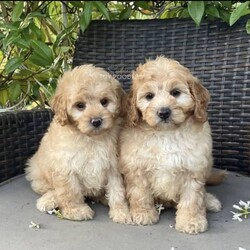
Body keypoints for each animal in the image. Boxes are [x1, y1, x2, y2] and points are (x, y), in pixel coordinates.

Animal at [120, 55, 222, 233]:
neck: (166, 134)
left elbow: (193, 199)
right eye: (149, 96)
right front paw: (143, 214)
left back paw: (210, 201)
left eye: (175, 93)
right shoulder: (137, 167)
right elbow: (140, 193)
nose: (163, 112)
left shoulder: (193, 169)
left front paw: (191, 221)